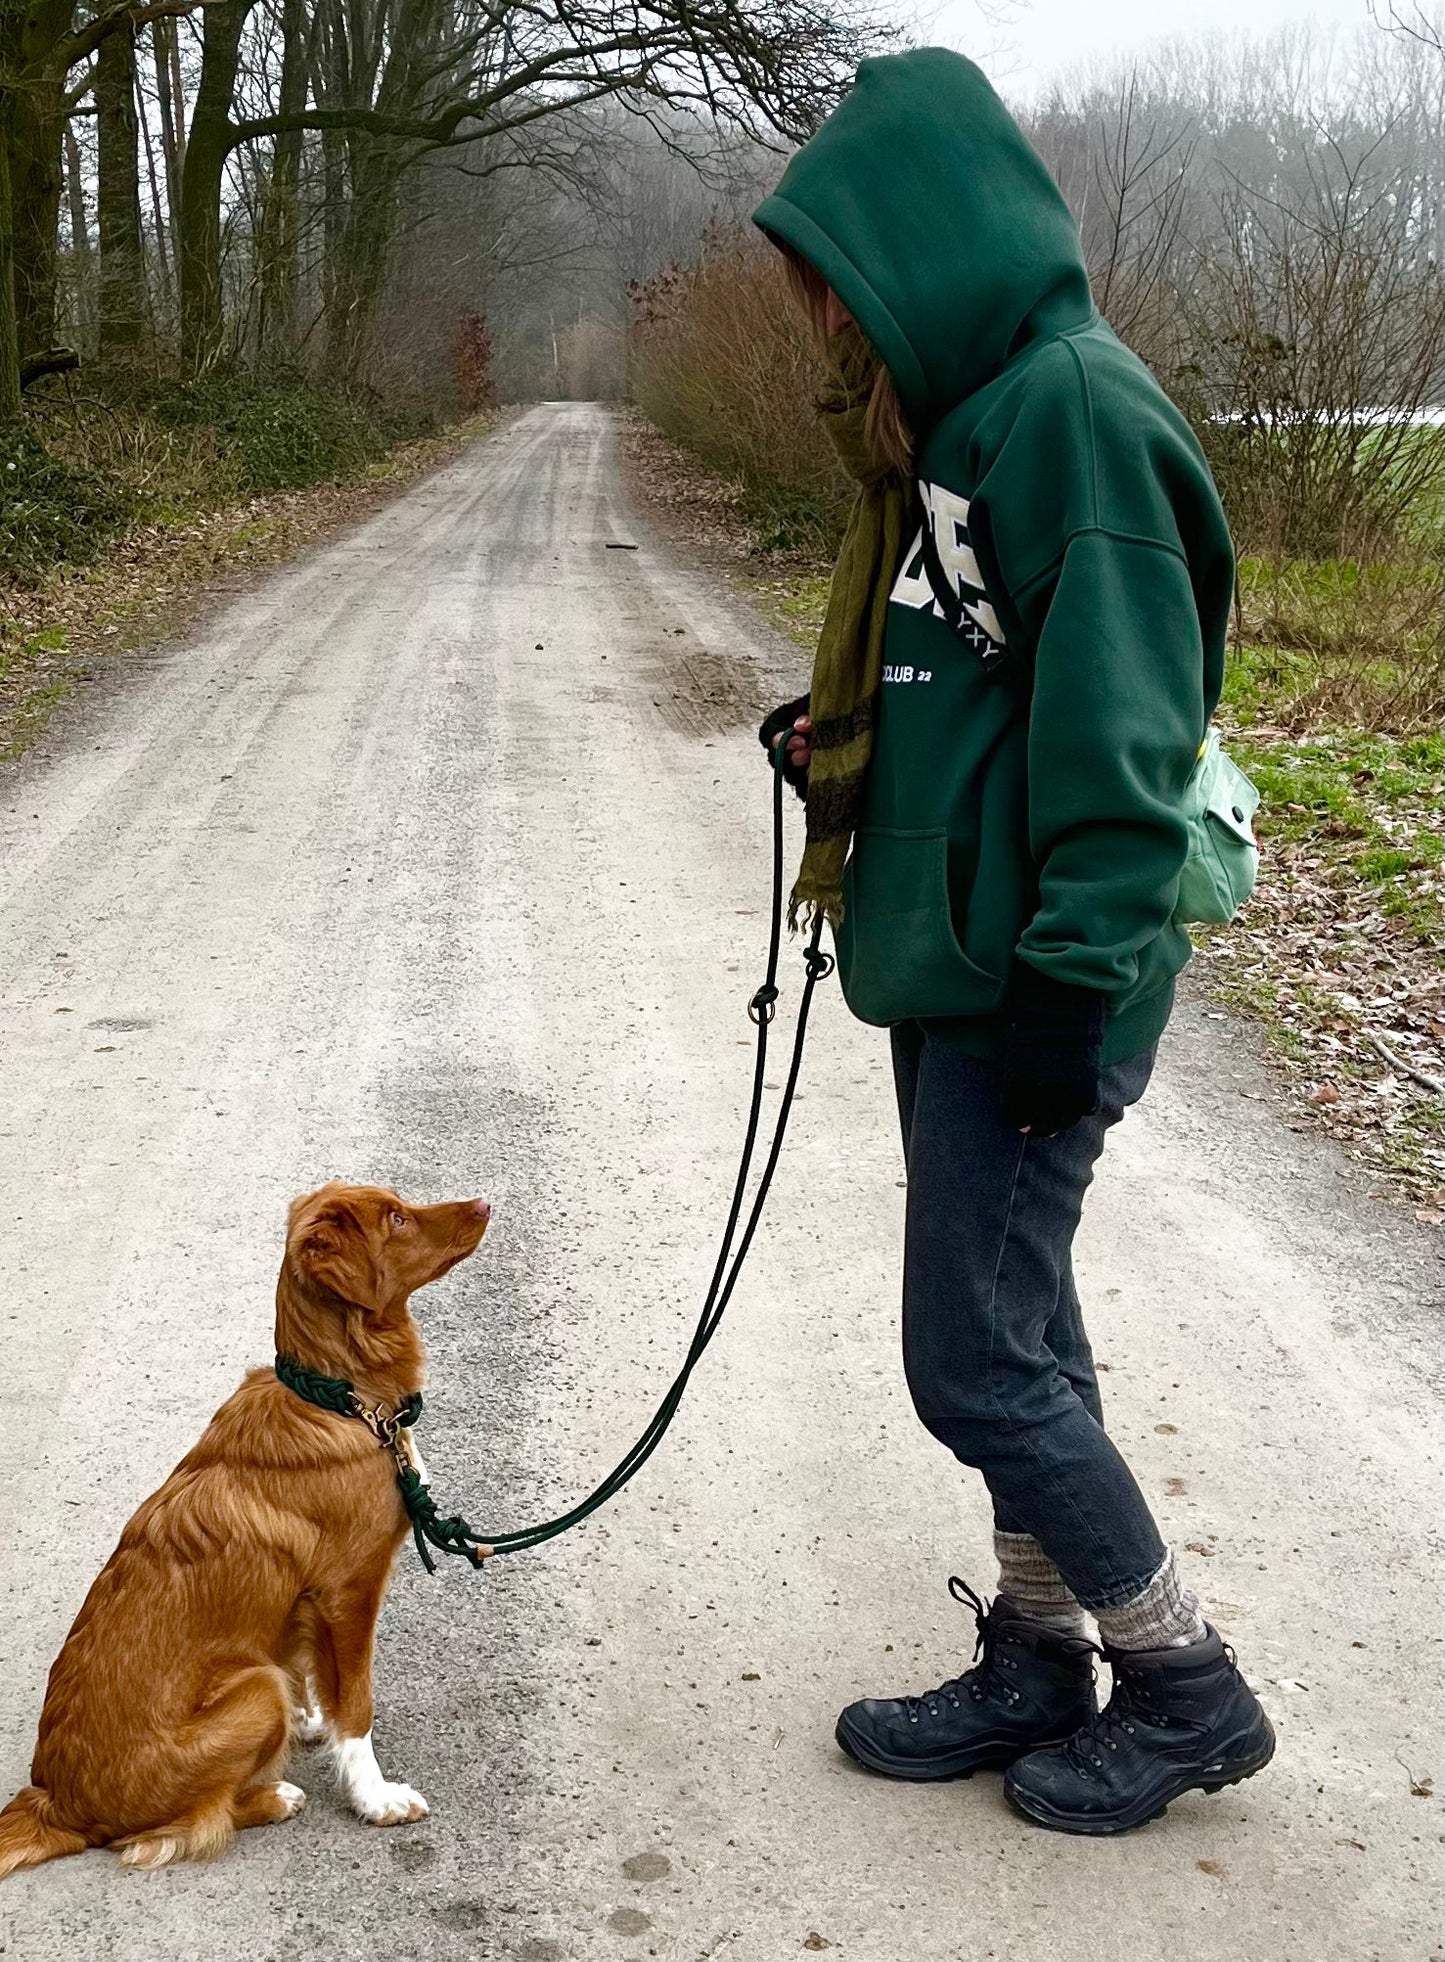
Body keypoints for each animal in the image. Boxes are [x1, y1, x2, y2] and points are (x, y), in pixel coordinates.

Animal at [0, 1169, 488, 1875]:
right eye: (396, 1220)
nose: (484, 1204)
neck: (336, 1399)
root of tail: (54, 1802)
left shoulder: (310, 1602)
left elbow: (315, 1672)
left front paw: (314, 1718)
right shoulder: (350, 1590)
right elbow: (357, 1706)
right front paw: (374, 1798)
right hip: (252, 1689)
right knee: (170, 1832)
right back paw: (272, 1796)